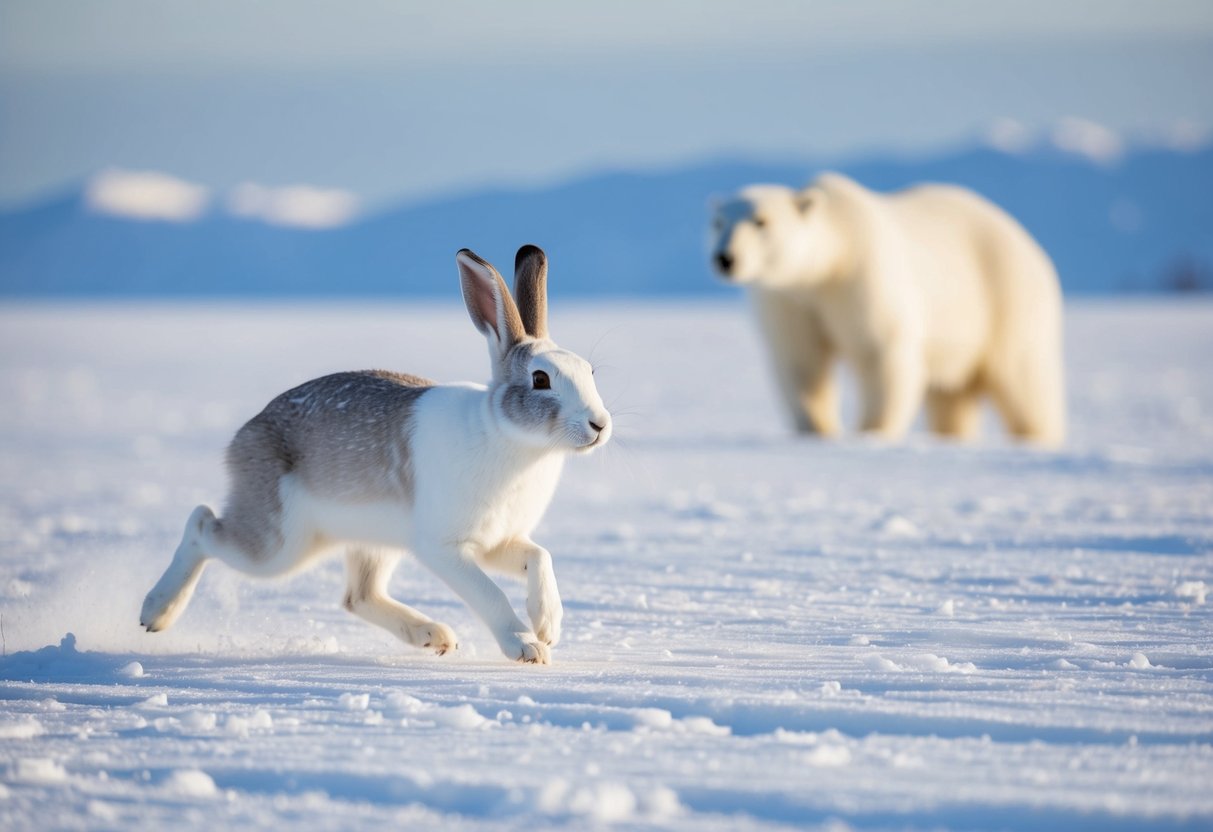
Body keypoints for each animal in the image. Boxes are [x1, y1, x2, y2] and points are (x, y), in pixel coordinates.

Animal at [140, 245, 611, 664]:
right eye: (540, 379)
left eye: (589, 372)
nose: (600, 425)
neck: (510, 437)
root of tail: (243, 437)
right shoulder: (445, 548)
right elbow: (489, 594)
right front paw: (527, 647)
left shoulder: (499, 543)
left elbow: (539, 556)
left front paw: (549, 625)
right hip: (279, 544)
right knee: (201, 524)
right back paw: (155, 612)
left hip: (368, 541)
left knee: (359, 597)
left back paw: (433, 635)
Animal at [709, 172, 1065, 446]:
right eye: (717, 223)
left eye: (760, 221)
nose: (725, 258)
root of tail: (1027, 241)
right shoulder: (788, 302)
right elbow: (801, 362)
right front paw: (818, 430)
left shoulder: (862, 279)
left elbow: (879, 353)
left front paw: (871, 432)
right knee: (951, 396)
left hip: (1006, 300)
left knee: (1023, 379)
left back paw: (1037, 438)